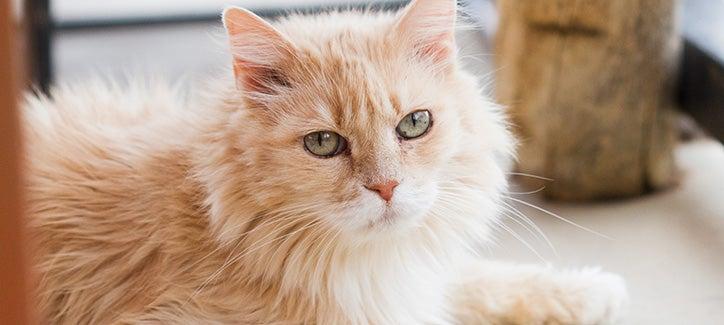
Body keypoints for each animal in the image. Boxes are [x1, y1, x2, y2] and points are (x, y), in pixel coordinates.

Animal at [24, 0, 628, 322]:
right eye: (323, 144)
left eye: (414, 124)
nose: (386, 188)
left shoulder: (406, 289)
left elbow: (478, 280)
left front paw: (590, 292)